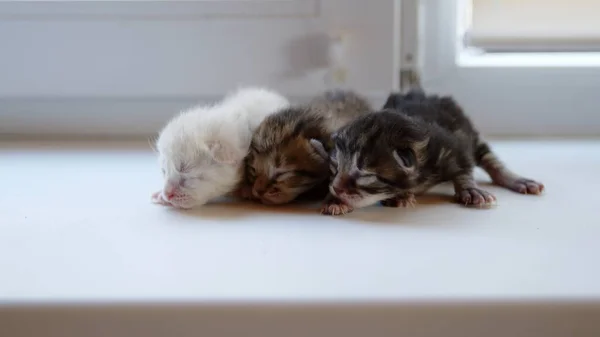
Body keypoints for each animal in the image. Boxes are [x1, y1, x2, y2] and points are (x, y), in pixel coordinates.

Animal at [322, 89, 548, 215]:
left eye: (366, 174)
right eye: (335, 168)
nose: (336, 188)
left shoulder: (454, 146)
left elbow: (463, 169)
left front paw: (470, 189)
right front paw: (335, 200)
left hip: (471, 134)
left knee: (491, 161)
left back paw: (519, 180)